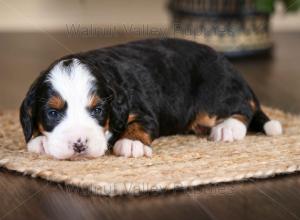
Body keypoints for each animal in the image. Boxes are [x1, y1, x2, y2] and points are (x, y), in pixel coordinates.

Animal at [19, 37, 282, 159]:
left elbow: (140, 124)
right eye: (53, 113)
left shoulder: (141, 109)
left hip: (213, 95)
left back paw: (228, 129)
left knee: (243, 109)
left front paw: (131, 143)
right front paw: (39, 141)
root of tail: (233, 69)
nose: (79, 144)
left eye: (97, 110)